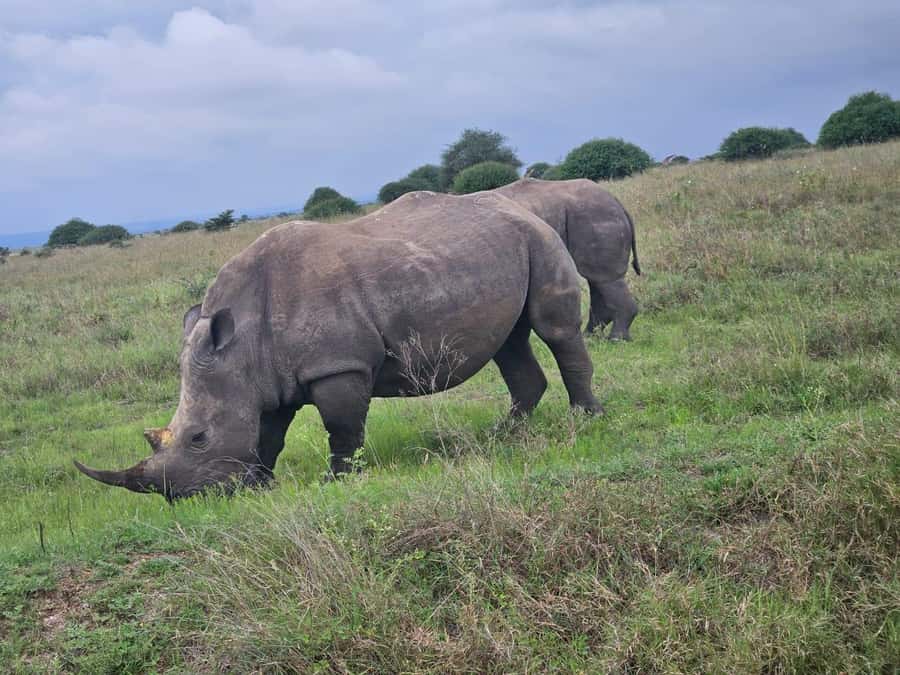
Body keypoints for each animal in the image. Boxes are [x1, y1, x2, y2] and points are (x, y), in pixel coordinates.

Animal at [75, 191, 602, 499]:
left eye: (199, 437)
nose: (185, 499)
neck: (241, 344)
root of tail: (519, 204)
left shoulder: (337, 366)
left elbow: (342, 427)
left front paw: (337, 480)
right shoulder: (266, 380)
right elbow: (268, 434)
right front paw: (262, 484)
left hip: (539, 237)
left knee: (553, 330)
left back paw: (586, 418)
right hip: (494, 248)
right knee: (508, 342)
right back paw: (504, 434)